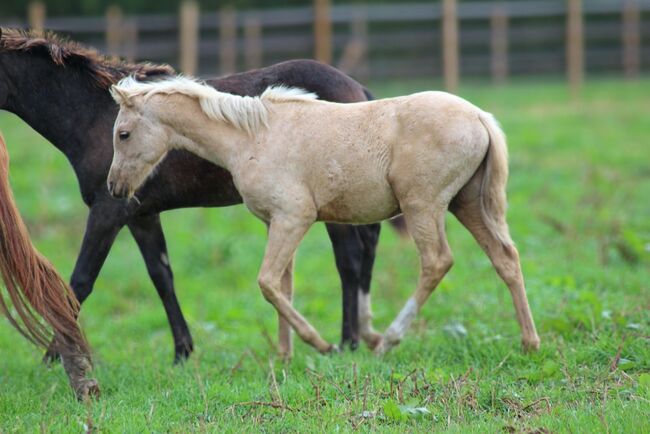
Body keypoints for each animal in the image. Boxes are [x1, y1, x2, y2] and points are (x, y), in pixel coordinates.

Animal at [0, 28, 382, 362]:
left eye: (123, 135)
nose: (115, 183)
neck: (90, 114)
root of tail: (358, 88)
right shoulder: (140, 214)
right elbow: (162, 277)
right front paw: (182, 351)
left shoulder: (107, 212)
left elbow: (80, 281)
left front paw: (55, 356)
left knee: (348, 260)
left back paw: (347, 342)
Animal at [109, 77, 540, 356]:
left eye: (123, 134)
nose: (114, 187)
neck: (252, 137)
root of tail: (480, 116)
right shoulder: (275, 222)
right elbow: (283, 286)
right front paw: (283, 357)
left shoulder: (294, 217)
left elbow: (268, 283)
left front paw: (322, 344)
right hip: (467, 204)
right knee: (506, 258)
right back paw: (529, 342)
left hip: (423, 205)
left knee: (437, 262)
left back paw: (386, 341)